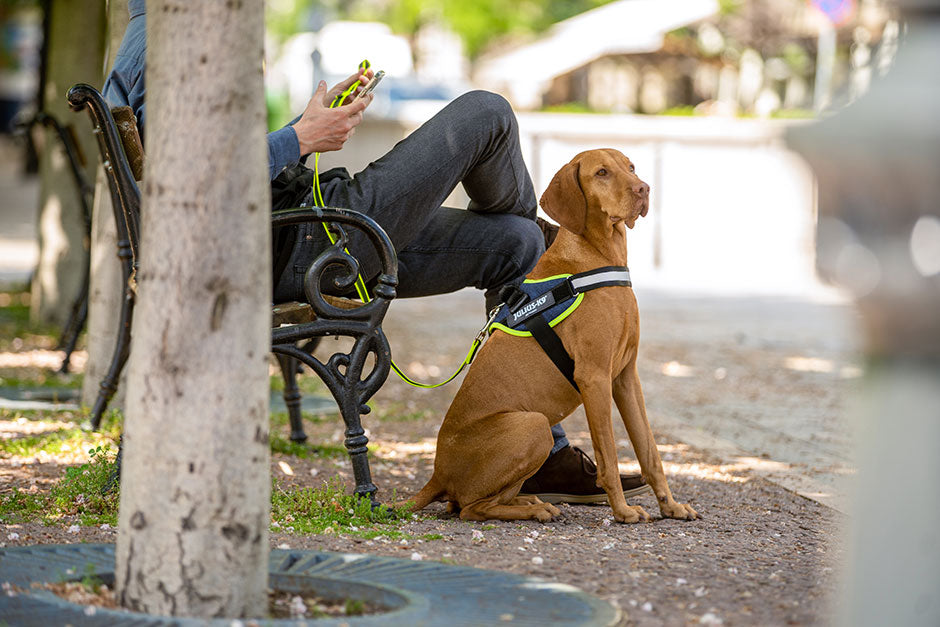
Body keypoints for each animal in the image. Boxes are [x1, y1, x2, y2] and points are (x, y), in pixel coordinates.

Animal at [404, 148, 696, 524]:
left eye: (631, 167)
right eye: (602, 172)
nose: (643, 189)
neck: (598, 256)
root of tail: (438, 473)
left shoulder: (626, 377)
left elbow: (650, 451)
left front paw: (670, 506)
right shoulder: (594, 377)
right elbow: (609, 456)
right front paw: (622, 511)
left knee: (476, 501)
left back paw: (530, 500)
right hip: (534, 424)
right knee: (471, 509)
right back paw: (537, 509)